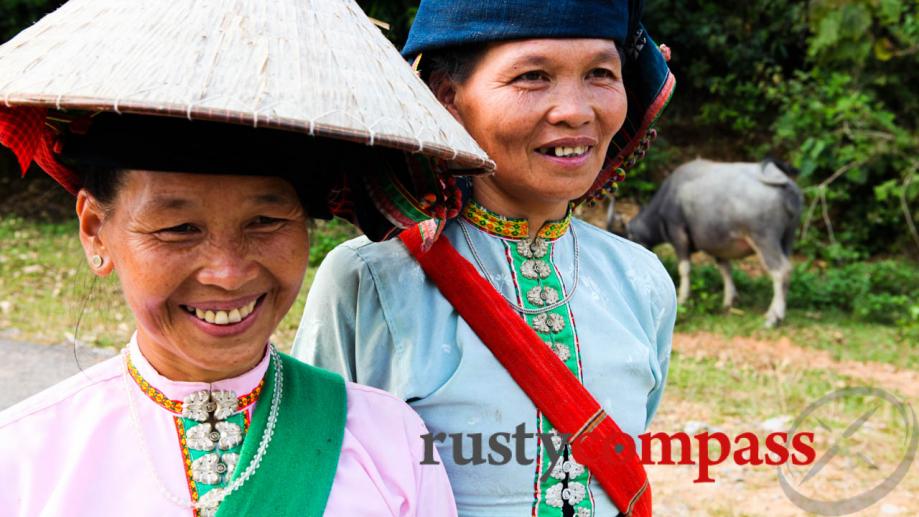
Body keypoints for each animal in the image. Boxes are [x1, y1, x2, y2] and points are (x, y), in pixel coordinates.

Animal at [620, 158, 804, 326]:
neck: (668, 197)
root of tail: (786, 184)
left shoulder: (678, 234)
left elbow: (684, 269)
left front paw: (683, 298)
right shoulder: (720, 245)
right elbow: (725, 269)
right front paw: (729, 300)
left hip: (764, 239)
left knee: (781, 271)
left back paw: (774, 317)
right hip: (787, 239)